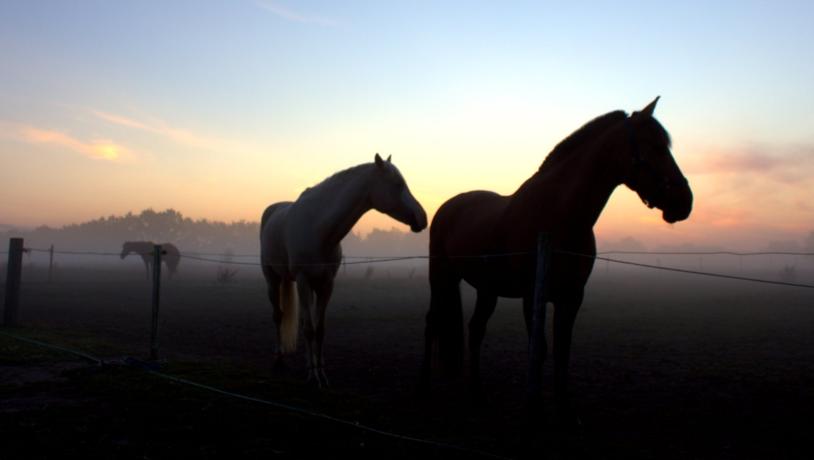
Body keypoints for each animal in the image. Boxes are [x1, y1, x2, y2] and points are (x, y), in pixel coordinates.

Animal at [262, 155, 430, 388]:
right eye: (398, 185)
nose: (422, 218)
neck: (319, 228)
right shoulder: (304, 280)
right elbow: (309, 329)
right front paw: (314, 376)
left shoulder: (326, 284)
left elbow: (318, 329)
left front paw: (320, 372)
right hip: (273, 279)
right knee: (278, 316)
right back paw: (279, 358)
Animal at [424, 97, 700, 420]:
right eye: (655, 147)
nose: (684, 202)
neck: (559, 215)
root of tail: (448, 206)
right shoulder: (533, 296)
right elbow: (540, 349)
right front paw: (536, 409)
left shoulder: (572, 297)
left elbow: (562, 349)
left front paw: (565, 408)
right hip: (441, 278)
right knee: (432, 322)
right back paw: (425, 387)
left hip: (487, 289)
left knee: (475, 330)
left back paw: (478, 395)